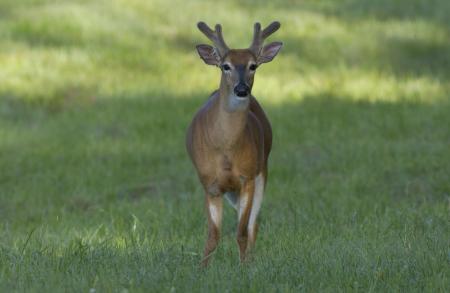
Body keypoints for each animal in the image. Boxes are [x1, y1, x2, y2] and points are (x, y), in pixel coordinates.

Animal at [185, 20, 284, 264]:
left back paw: (250, 259)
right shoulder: (209, 183)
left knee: (253, 226)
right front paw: (202, 267)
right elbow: (213, 235)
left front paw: (244, 266)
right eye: (225, 66)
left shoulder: (247, 177)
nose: (241, 89)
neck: (225, 149)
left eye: (253, 65)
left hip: (262, 170)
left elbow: (241, 232)